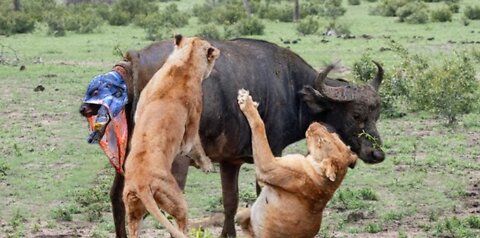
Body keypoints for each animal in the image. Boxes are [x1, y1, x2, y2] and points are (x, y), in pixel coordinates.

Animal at [124, 35, 221, 238]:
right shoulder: (195, 111)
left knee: (134, 227)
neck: (184, 62)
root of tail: (141, 184)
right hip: (175, 199)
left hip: (132, 207)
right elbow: (192, 142)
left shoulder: (143, 99)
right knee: (181, 221)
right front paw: (203, 162)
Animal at [236, 88, 356, 237]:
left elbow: (259, 127)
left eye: (321, 141)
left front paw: (246, 101)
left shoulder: (268, 167)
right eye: (334, 135)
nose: (315, 123)